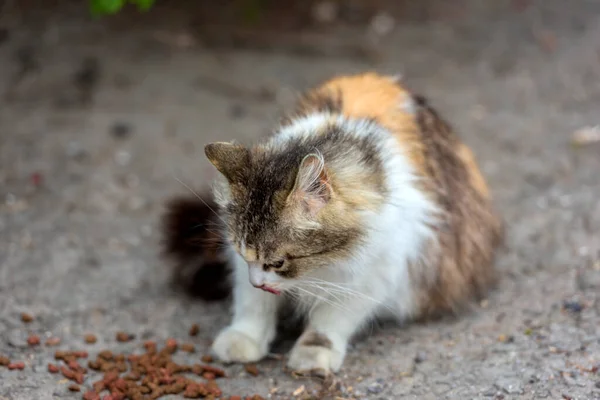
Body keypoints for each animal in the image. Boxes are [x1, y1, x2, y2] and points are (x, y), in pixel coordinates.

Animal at [162, 72, 504, 378]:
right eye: (242, 250)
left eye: (279, 262)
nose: (259, 281)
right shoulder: (241, 263)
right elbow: (252, 304)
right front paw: (244, 337)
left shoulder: (373, 276)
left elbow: (330, 320)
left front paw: (313, 353)